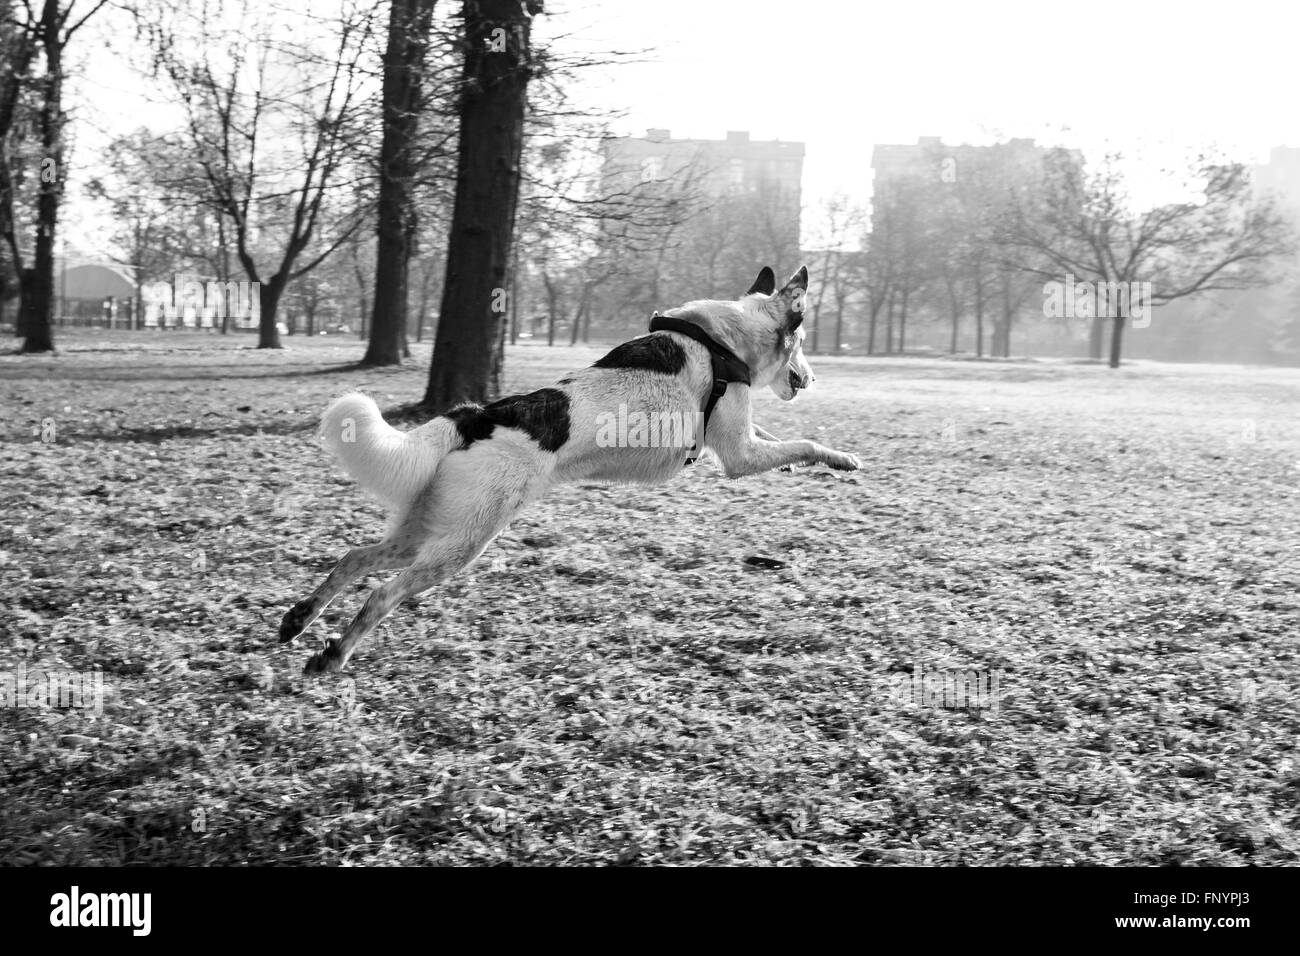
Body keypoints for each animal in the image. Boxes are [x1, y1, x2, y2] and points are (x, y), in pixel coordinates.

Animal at [279, 265, 857, 676]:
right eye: (803, 343)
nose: (812, 378)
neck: (722, 342)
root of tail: (476, 415)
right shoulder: (737, 454)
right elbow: (802, 442)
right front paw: (840, 459)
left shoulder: (742, 442)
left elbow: (778, 439)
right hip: (461, 546)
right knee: (381, 594)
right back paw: (332, 655)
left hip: (427, 529)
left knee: (354, 558)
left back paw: (300, 618)